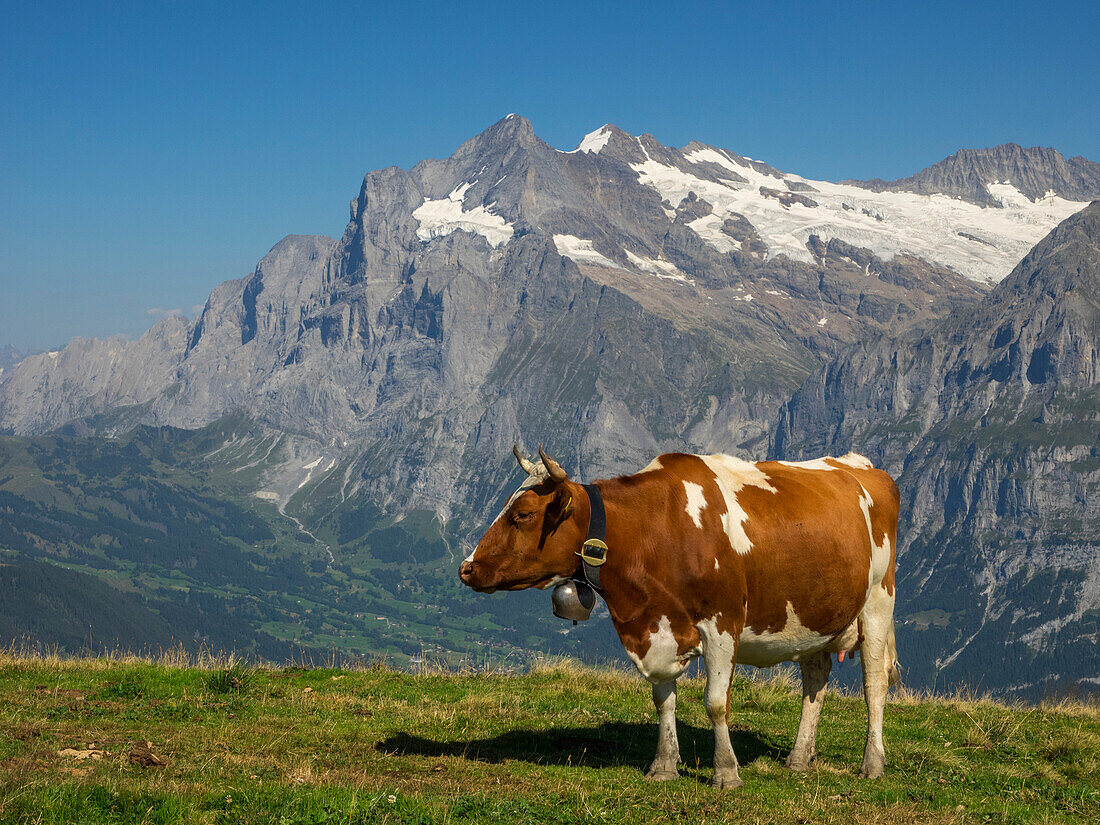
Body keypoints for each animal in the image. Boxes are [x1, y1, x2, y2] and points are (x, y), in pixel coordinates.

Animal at [459, 446, 897, 787]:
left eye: (523, 515)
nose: (466, 568)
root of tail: (861, 466)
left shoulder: (721, 623)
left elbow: (716, 703)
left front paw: (726, 773)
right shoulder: (658, 627)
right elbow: (663, 700)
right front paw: (664, 766)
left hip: (878, 602)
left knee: (874, 686)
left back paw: (872, 764)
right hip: (815, 614)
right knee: (815, 679)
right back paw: (799, 758)